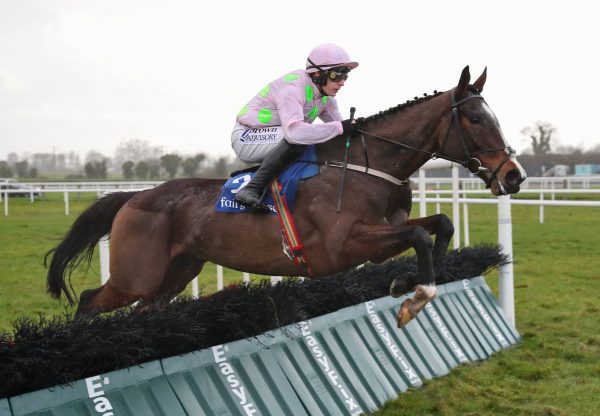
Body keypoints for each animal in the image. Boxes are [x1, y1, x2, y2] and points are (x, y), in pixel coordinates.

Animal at [45, 66, 524, 326]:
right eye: (477, 119)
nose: (514, 176)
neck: (368, 166)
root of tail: (134, 196)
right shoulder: (341, 245)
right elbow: (422, 237)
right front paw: (415, 295)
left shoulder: (383, 234)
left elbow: (439, 226)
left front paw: (407, 282)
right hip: (135, 275)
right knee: (89, 301)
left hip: (177, 272)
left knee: (146, 309)